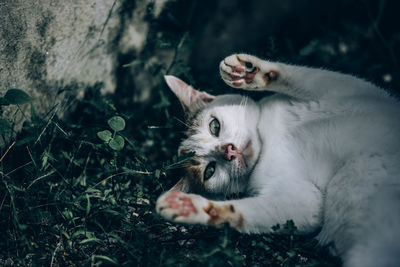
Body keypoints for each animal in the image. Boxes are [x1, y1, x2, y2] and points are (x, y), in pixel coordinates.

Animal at [155, 53, 400, 266]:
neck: (269, 140)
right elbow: (248, 211)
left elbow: (306, 76)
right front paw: (192, 207)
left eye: (214, 126)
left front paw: (247, 72)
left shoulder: (355, 93)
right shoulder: (303, 200)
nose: (229, 151)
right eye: (210, 171)